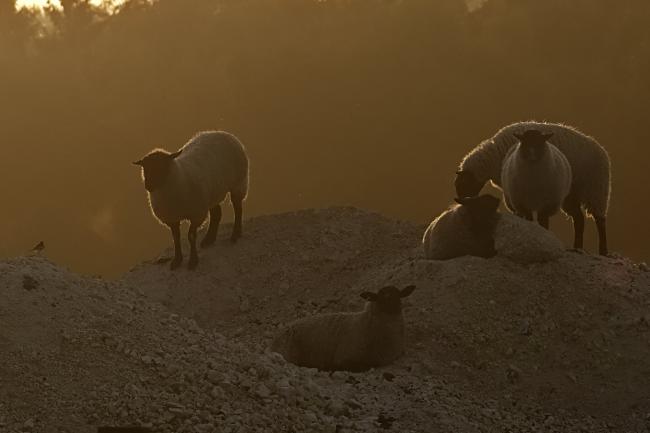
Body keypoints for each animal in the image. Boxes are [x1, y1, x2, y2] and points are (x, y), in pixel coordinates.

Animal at [133, 131, 249, 270]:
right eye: (145, 168)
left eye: (162, 165)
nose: (148, 186)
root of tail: (222, 132)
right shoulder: (172, 218)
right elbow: (176, 238)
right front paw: (177, 260)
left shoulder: (196, 214)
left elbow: (191, 236)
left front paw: (193, 261)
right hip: (211, 194)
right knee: (216, 214)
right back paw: (209, 239)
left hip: (239, 182)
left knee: (238, 208)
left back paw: (235, 234)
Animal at [455, 121, 611, 255]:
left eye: (464, 183)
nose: (461, 202)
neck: (492, 157)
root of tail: (602, 152)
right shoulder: (514, 191)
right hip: (571, 194)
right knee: (579, 218)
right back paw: (577, 247)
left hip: (596, 190)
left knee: (600, 220)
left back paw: (603, 251)